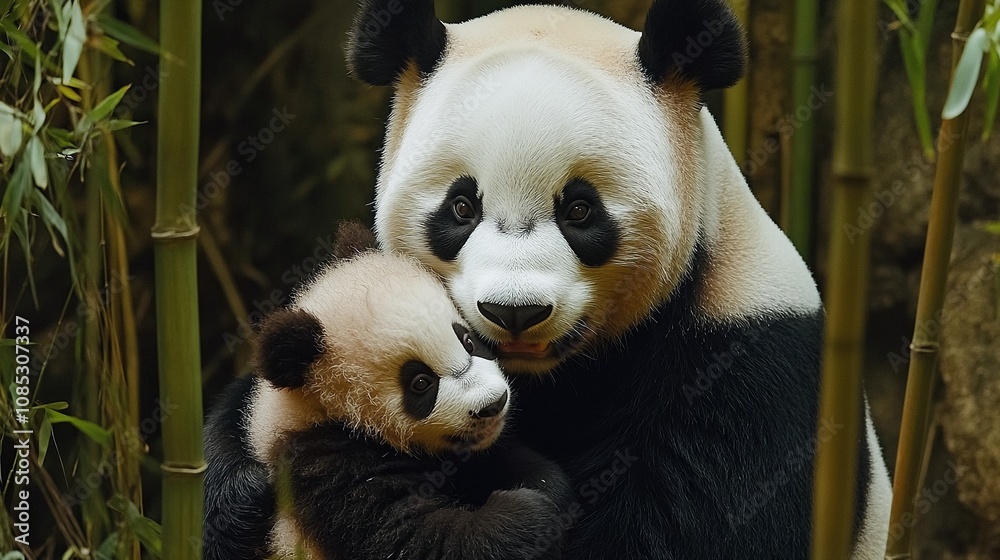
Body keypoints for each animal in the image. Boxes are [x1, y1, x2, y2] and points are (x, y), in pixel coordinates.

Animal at [203, 224, 572, 560]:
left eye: (468, 341)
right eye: (420, 383)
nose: (493, 405)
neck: (313, 408)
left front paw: (540, 490)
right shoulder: (326, 464)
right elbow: (409, 538)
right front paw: (526, 514)